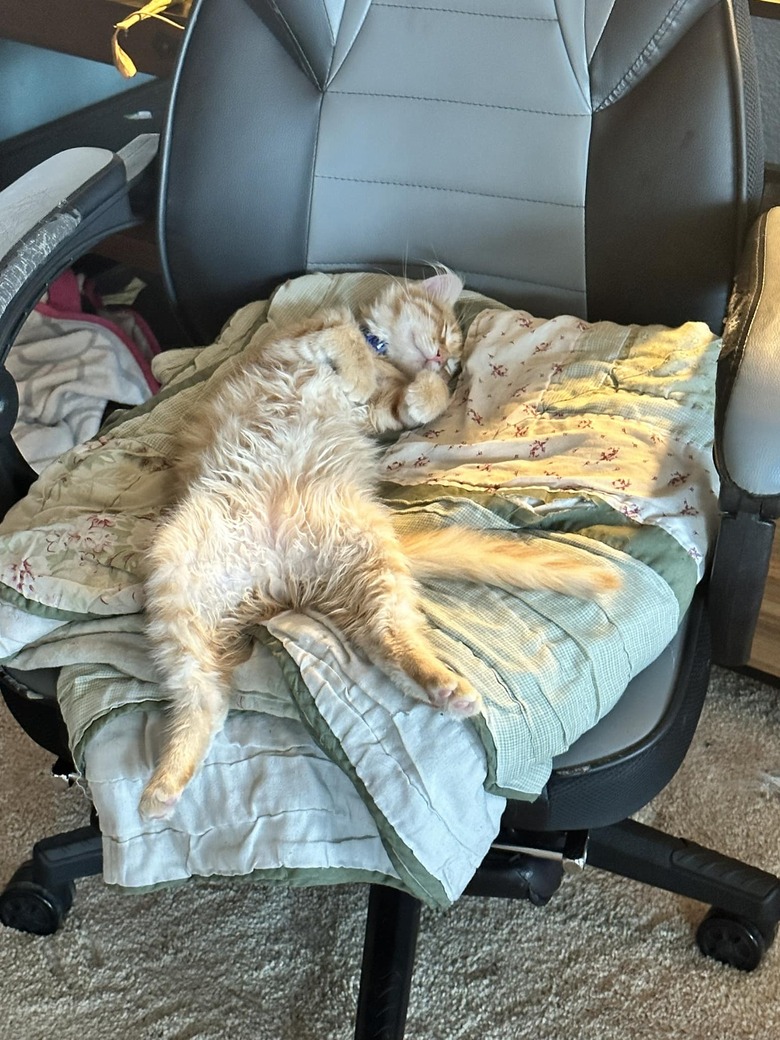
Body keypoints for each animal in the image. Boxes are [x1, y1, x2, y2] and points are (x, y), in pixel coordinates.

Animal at [137, 270, 619, 819]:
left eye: (455, 361)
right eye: (446, 335)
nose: (442, 359)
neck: (384, 355)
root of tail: (280, 578)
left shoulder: (378, 414)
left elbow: (412, 400)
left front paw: (420, 389)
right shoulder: (295, 342)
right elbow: (344, 344)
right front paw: (365, 368)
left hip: (365, 557)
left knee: (384, 640)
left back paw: (443, 686)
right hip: (179, 579)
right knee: (206, 698)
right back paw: (164, 786)